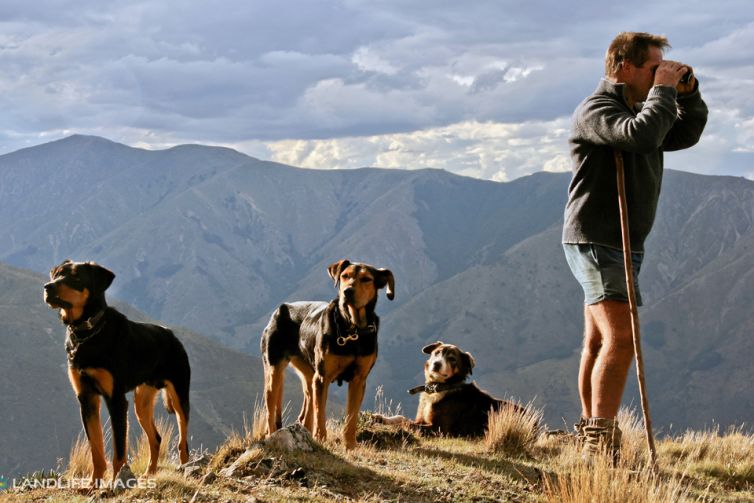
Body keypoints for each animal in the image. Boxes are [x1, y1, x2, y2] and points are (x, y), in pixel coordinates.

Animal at [42, 260, 189, 484]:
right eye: (57, 274)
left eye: (76, 277)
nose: (48, 287)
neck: (87, 332)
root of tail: (172, 335)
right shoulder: (86, 398)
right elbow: (96, 449)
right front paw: (93, 484)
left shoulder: (116, 400)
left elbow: (119, 450)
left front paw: (116, 482)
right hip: (141, 402)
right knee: (156, 438)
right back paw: (150, 472)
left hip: (179, 394)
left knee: (183, 439)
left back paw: (186, 467)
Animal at [260, 260, 394, 448]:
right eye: (345, 276)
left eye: (367, 279)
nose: (347, 291)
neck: (352, 329)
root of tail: (280, 309)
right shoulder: (323, 378)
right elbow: (320, 414)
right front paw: (321, 439)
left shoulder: (359, 379)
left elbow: (351, 417)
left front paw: (350, 445)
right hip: (274, 371)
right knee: (271, 411)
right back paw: (273, 435)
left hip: (309, 373)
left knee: (305, 409)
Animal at [372, 342, 524, 438]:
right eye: (436, 353)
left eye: (452, 359)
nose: (436, 364)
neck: (438, 388)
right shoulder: (421, 419)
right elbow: (401, 417)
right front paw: (381, 418)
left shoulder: (439, 429)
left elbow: (406, 423)